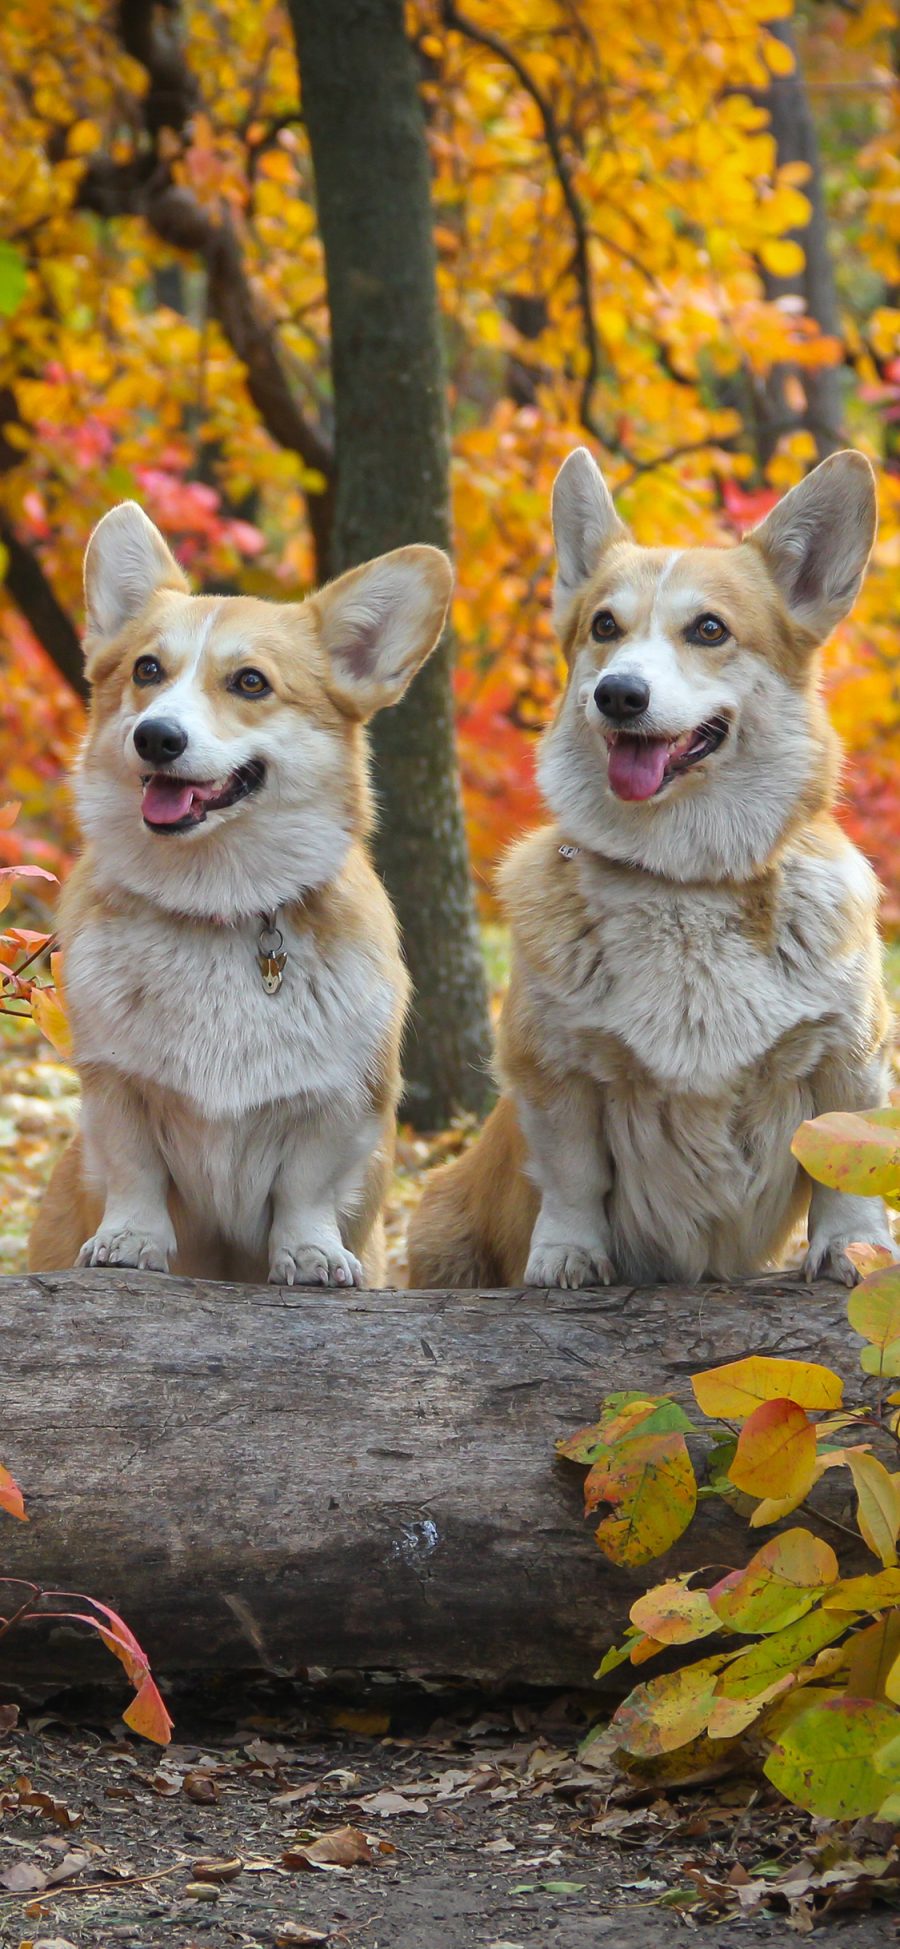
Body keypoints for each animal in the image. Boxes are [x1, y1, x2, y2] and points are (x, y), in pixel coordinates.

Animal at [28, 510, 453, 1286]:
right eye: (147, 670)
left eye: (251, 682)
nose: (156, 736)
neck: (216, 905)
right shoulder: (116, 1087)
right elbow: (135, 1172)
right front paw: (128, 1243)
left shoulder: (339, 1102)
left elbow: (306, 1188)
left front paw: (310, 1254)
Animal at [411, 446, 896, 1286]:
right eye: (604, 626)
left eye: (709, 629)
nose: (619, 693)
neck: (684, 881)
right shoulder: (554, 1067)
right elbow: (573, 1174)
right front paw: (567, 1257)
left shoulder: (849, 1049)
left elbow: (847, 1164)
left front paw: (856, 1250)